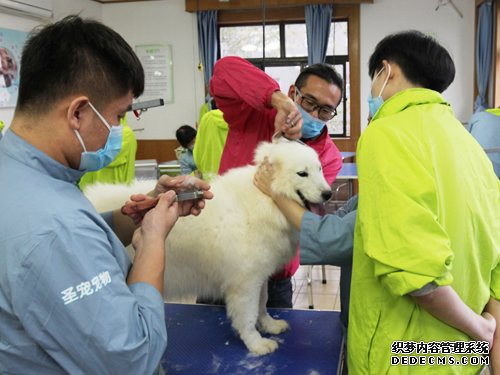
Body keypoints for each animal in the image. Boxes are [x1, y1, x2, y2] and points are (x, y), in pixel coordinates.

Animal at [84, 140, 334, 356]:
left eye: (320, 169)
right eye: (302, 174)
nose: (328, 194)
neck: (264, 199)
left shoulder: (259, 277)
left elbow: (262, 305)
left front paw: (269, 325)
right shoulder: (244, 283)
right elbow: (248, 316)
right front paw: (256, 343)